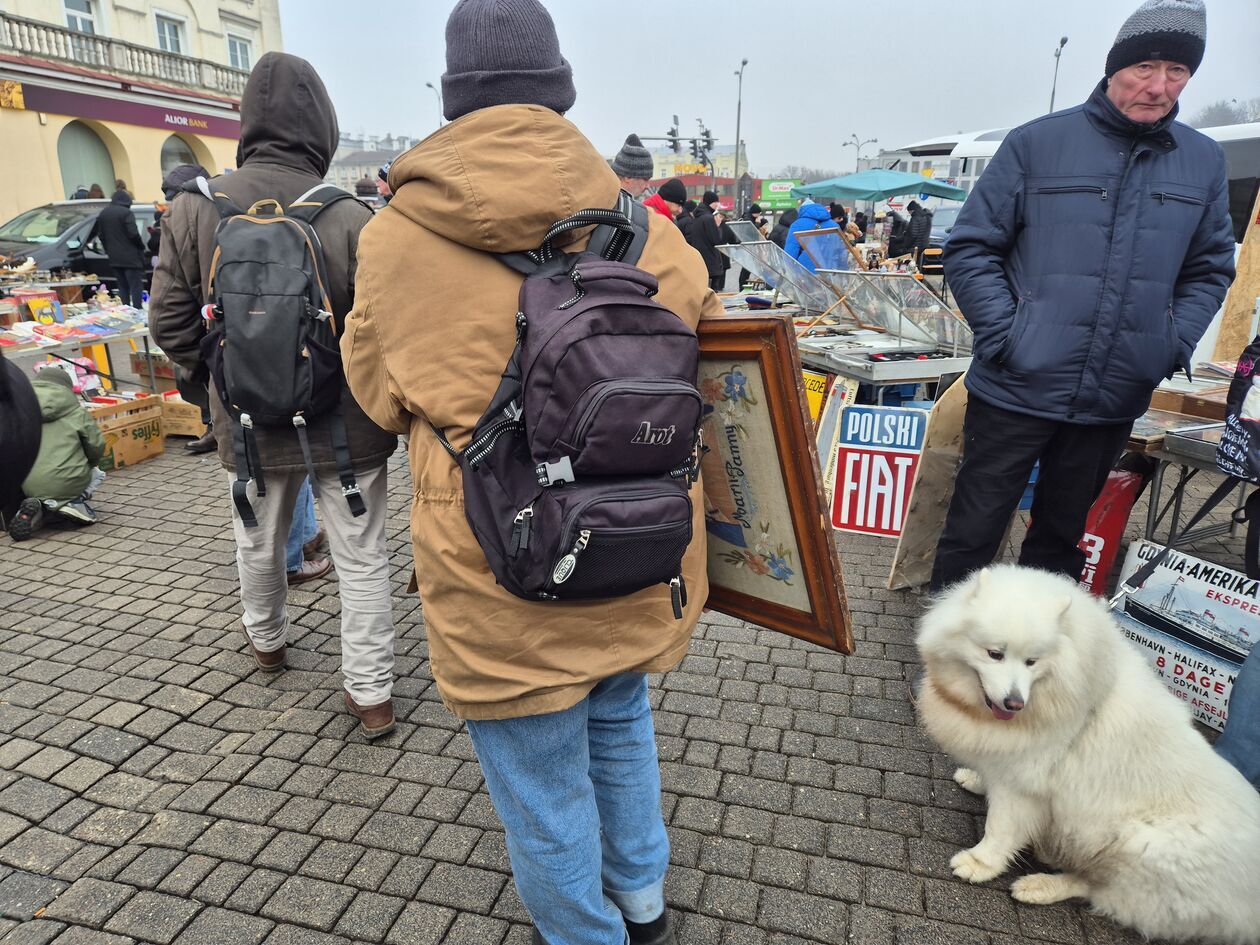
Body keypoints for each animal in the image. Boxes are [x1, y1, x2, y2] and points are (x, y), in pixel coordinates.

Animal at [917, 567, 1260, 942]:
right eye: (995, 654)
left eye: (1032, 662)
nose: (1014, 702)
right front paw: (976, 780)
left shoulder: (1025, 787)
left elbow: (1000, 828)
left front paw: (980, 863)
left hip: (1138, 850)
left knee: (1096, 888)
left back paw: (1039, 885)